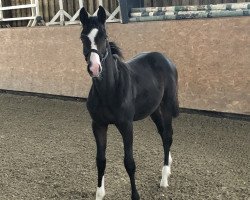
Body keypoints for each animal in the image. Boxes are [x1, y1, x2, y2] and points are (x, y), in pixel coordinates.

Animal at [79, 6, 179, 200]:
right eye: (82, 37)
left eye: (104, 36)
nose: (94, 68)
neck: (110, 90)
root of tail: (165, 59)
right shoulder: (98, 125)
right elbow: (100, 160)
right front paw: (99, 193)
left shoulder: (126, 125)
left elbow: (129, 162)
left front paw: (135, 195)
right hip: (154, 110)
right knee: (163, 133)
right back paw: (168, 164)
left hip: (166, 106)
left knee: (168, 135)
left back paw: (164, 178)